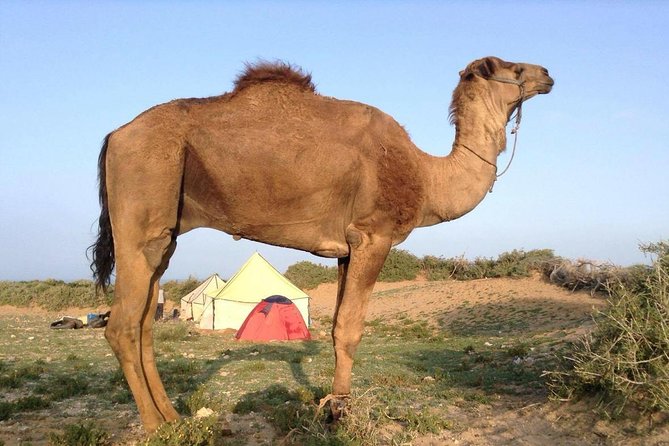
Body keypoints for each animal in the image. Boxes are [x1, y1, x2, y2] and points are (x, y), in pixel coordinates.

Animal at [90, 56, 553, 432]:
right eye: (513, 69)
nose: (547, 74)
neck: (425, 175)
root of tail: (114, 136)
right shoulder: (373, 234)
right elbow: (350, 328)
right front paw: (340, 412)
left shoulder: (347, 249)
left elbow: (335, 329)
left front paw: (333, 403)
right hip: (145, 205)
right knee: (123, 325)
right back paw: (155, 426)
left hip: (164, 236)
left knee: (146, 321)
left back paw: (173, 416)